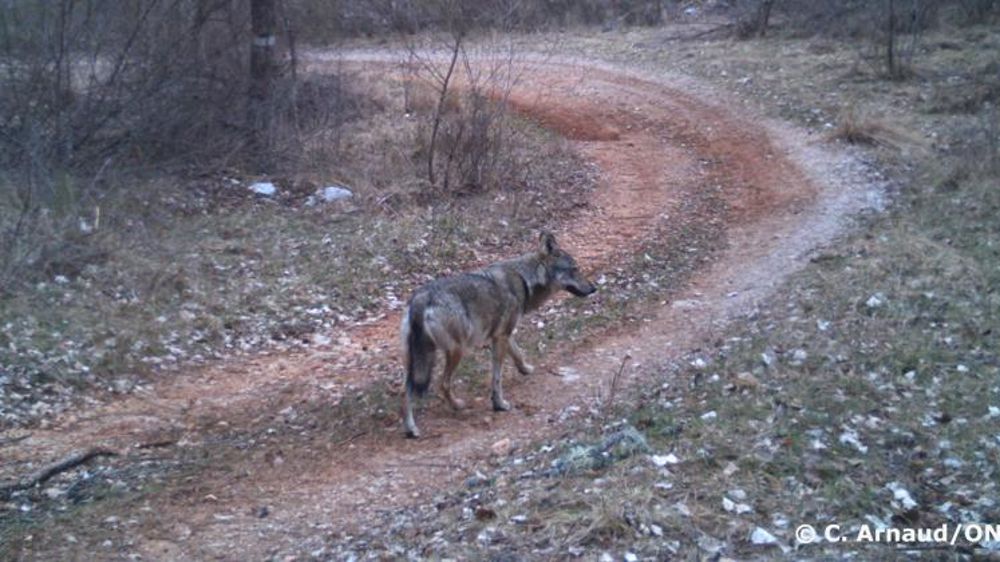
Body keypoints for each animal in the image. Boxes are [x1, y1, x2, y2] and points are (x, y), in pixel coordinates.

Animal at [400, 231, 597, 438]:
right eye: (575, 269)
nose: (594, 288)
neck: (525, 280)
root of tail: (421, 299)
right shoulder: (501, 337)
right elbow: (497, 377)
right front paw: (499, 404)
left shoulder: (503, 334)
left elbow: (518, 355)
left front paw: (526, 369)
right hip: (456, 351)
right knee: (442, 384)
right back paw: (457, 406)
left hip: (418, 360)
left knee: (407, 391)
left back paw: (411, 428)